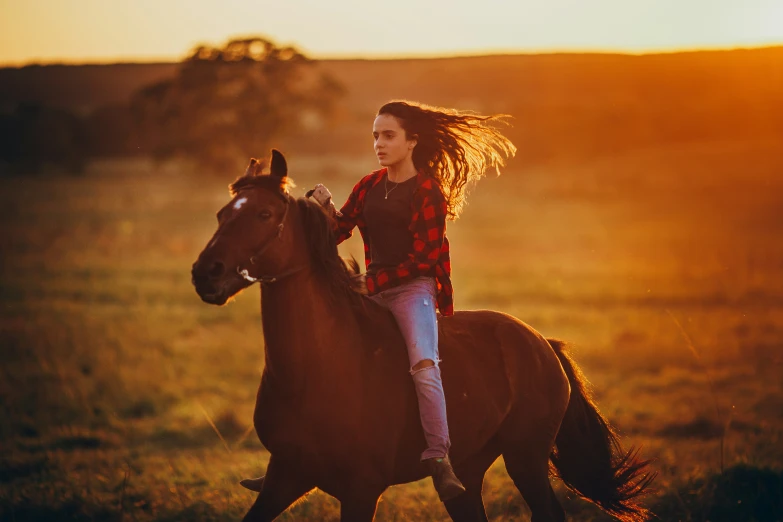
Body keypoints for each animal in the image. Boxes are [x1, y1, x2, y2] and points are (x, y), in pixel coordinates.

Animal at [191, 148, 656, 516]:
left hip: (526, 460)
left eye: (264, 214)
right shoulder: (284, 476)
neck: (315, 370)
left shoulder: (361, 489)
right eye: (221, 214)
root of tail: (542, 343)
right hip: (470, 472)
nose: (205, 273)